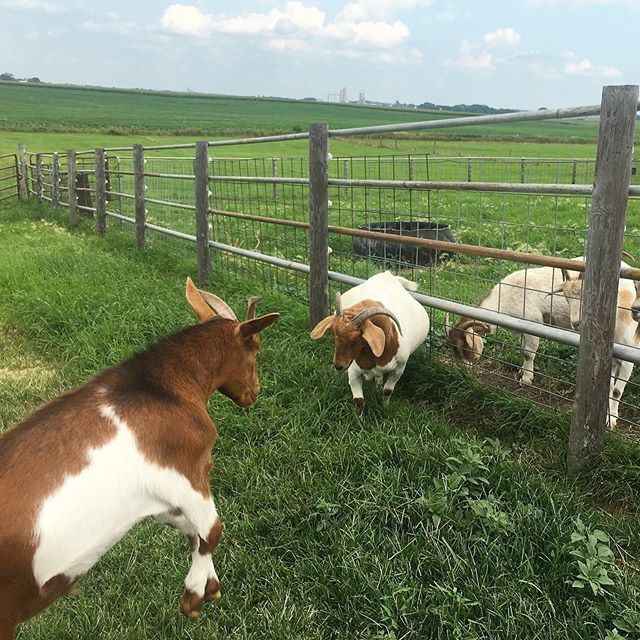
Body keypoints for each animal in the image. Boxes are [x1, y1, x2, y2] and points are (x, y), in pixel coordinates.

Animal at [0, 277, 279, 639]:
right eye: (255, 350)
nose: (253, 394)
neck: (162, 387)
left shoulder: (158, 502)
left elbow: (191, 532)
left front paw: (210, 587)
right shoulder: (184, 472)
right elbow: (211, 530)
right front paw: (194, 596)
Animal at [310, 271, 429, 411]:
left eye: (357, 337)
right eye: (334, 334)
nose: (338, 366)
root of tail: (387, 274)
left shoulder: (399, 368)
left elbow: (387, 391)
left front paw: (385, 408)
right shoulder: (353, 370)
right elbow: (359, 400)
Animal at [554, 265, 640, 428]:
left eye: (585, 295)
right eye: (566, 297)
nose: (575, 323)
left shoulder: (628, 362)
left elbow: (617, 391)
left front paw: (612, 421)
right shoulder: (611, 360)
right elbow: (610, 388)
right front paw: (607, 416)